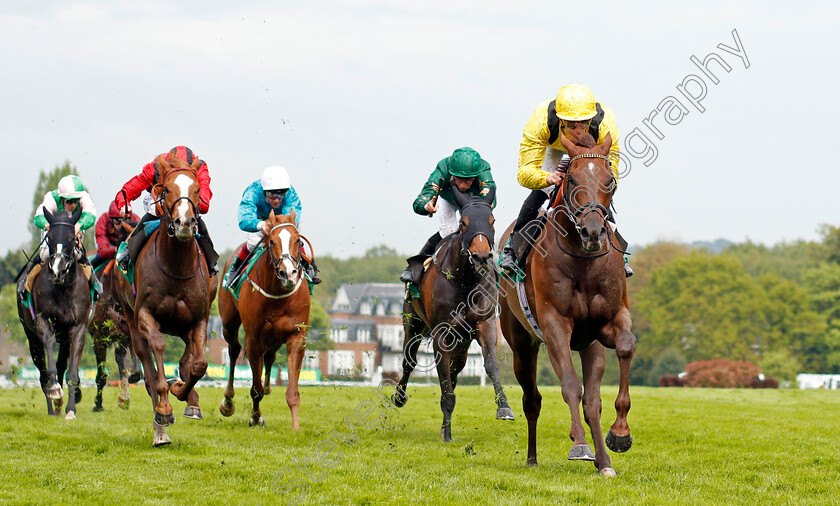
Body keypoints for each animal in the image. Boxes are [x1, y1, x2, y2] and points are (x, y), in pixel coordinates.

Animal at [16, 206, 92, 420]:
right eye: (49, 237)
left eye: (71, 237)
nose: (58, 270)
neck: (63, 289)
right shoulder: (42, 320)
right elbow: (49, 351)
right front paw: (55, 391)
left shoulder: (78, 327)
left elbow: (72, 371)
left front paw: (71, 409)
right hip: (31, 336)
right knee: (42, 370)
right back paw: (52, 406)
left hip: (64, 336)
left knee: (61, 364)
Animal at [111, 155, 217, 446]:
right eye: (166, 189)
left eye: (198, 190)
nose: (184, 223)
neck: (176, 267)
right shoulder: (146, 316)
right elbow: (157, 357)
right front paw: (165, 409)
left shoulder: (199, 319)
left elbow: (199, 365)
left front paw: (183, 391)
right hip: (132, 321)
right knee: (147, 371)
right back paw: (160, 429)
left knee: (187, 358)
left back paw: (190, 399)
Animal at [218, 209, 310, 426]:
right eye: (272, 242)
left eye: (298, 241)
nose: (288, 273)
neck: (278, 293)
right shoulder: (254, 338)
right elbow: (255, 389)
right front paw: (255, 416)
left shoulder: (296, 334)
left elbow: (292, 392)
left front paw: (295, 426)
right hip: (229, 323)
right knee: (234, 350)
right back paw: (228, 401)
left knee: (269, 356)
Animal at [392, 187, 516, 442]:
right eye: (464, 223)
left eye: (492, 220)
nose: (481, 257)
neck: (465, 281)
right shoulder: (441, 334)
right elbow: (445, 384)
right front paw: (447, 434)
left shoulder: (485, 325)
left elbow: (491, 365)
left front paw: (504, 407)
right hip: (412, 324)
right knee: (409, 360)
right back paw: (399, 397)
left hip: (462, 342)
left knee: (455, 370)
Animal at [498, 132, 636, 476]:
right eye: (571, 179)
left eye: (610, 180)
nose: (593, 231)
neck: (583, 260)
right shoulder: (555, 324)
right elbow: (570, 386)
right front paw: (580, 445)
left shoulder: (607, 322)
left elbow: (626, 346)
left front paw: (620, 434)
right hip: (521, 344)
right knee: (532, 400)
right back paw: (533, 458)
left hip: (590, 346)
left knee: (592, 402)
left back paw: (604, 462)